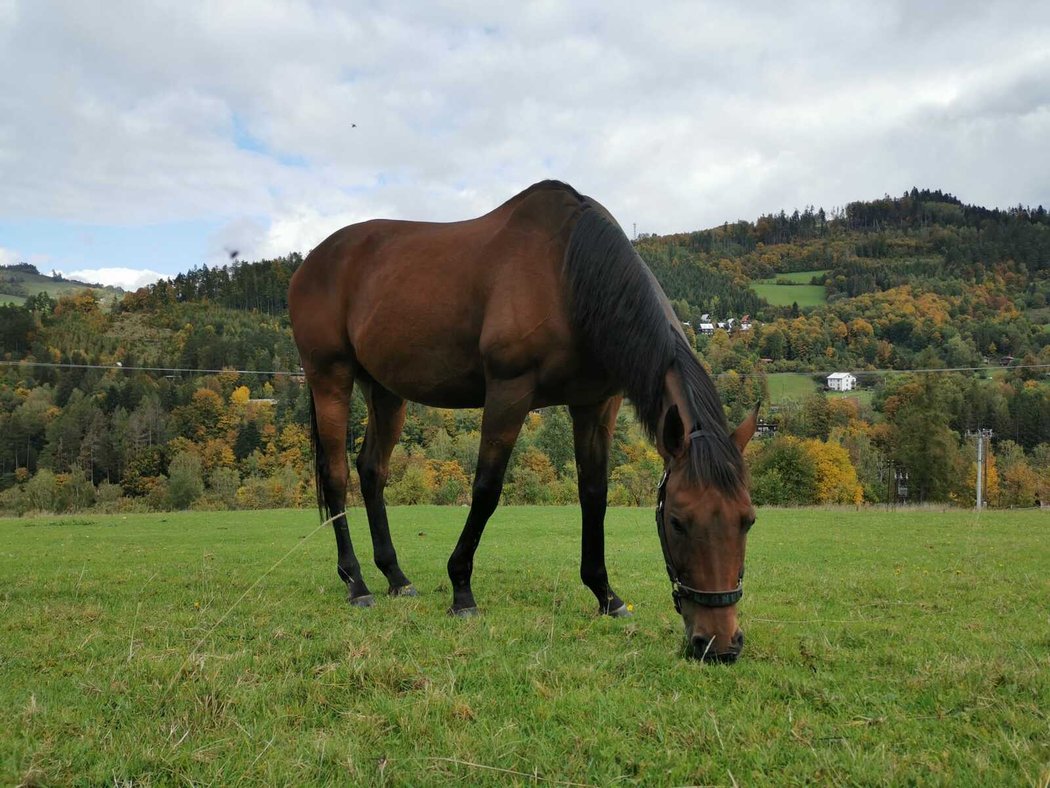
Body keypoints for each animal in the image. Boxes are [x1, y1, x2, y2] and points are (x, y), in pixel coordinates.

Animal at [291, 178, 760, 659]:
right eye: (678, 521)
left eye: (748, 519)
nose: (720, 644)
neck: (568, 273)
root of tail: (313, 260)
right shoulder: (508, 392)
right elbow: (486, 490)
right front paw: (462, 589)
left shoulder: (595, 406)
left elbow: (594, 495)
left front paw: (606, 595)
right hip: (331, 377)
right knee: (336, 475)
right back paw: (356, 583)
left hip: (385, 392)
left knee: (372, 471)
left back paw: (396, 578)